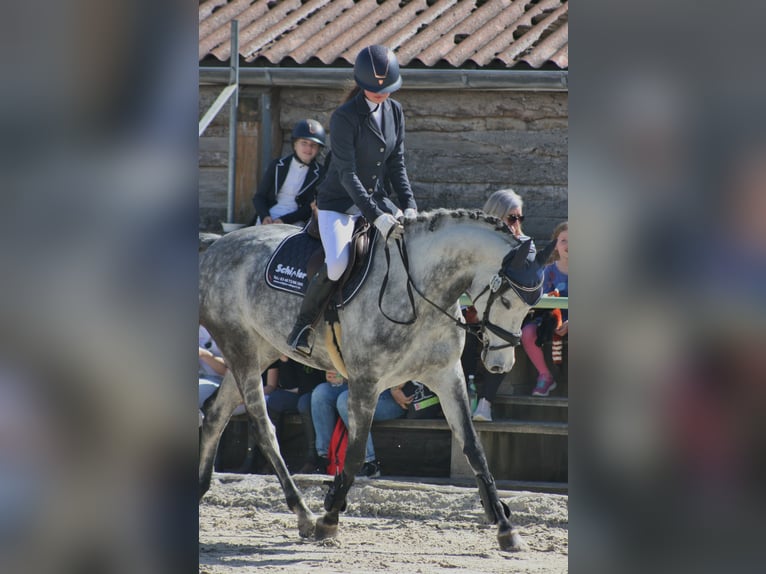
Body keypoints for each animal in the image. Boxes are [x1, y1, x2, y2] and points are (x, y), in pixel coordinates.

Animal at [200, 209, 552, 552]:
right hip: (242, 348)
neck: (420, 290)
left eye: (532, 306)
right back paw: (304, 514)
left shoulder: (446, 376)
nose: (500, 365)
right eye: (506, 301)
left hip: (262, 350)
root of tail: (216, 246)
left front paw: (506, 529)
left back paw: (203, 487)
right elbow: (355, 454)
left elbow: (474, 448)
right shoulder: (365, 381)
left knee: (215, 414)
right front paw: (329, 519)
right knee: (262, 428)